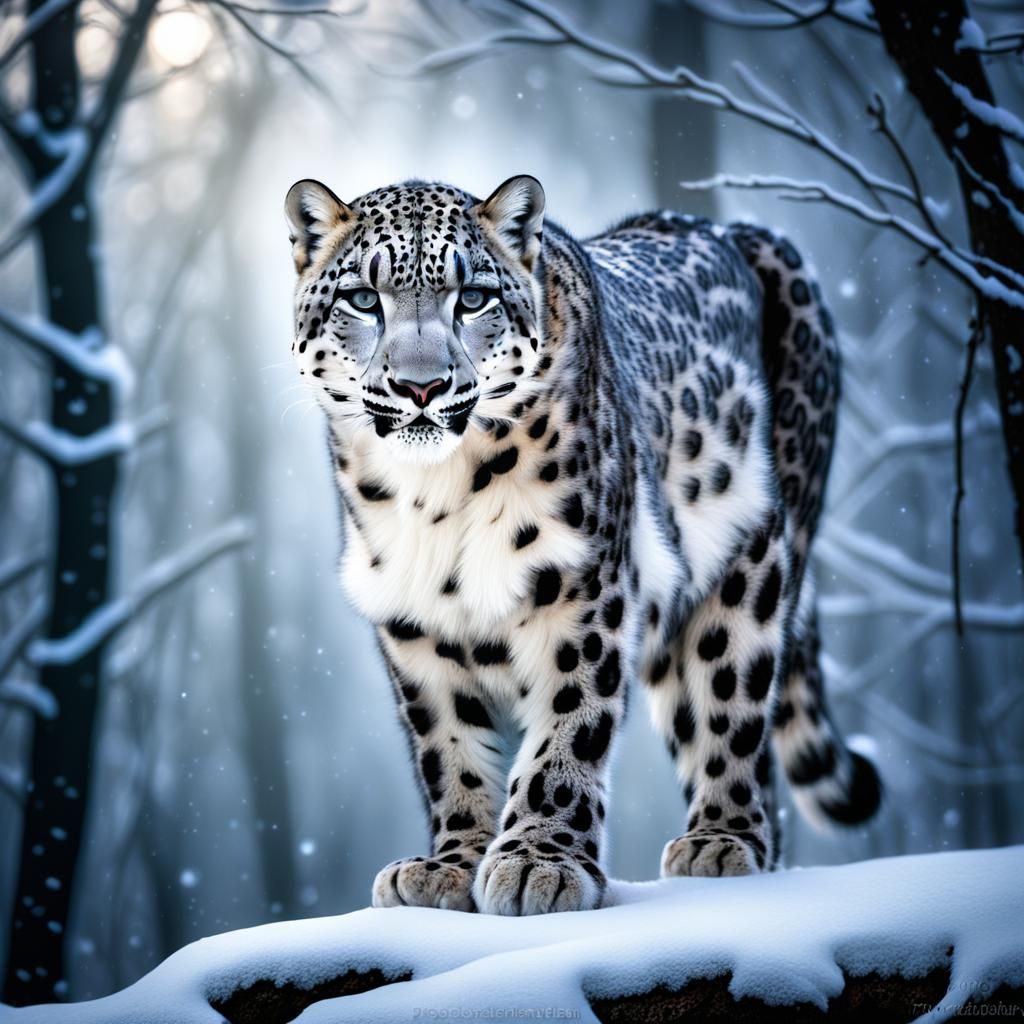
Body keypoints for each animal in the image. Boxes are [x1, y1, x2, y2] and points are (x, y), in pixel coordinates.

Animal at [283, 173, 882, 916]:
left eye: (472, 297)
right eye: (363, 299)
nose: (421, 385)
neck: (436, 502)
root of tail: (738, 228)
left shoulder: (580, 585)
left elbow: (568, 725)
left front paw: (539, 864)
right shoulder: (415, 620)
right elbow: (448, 749)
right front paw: (448, 866)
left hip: (751, 568)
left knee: (732, 705)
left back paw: (721, 841)